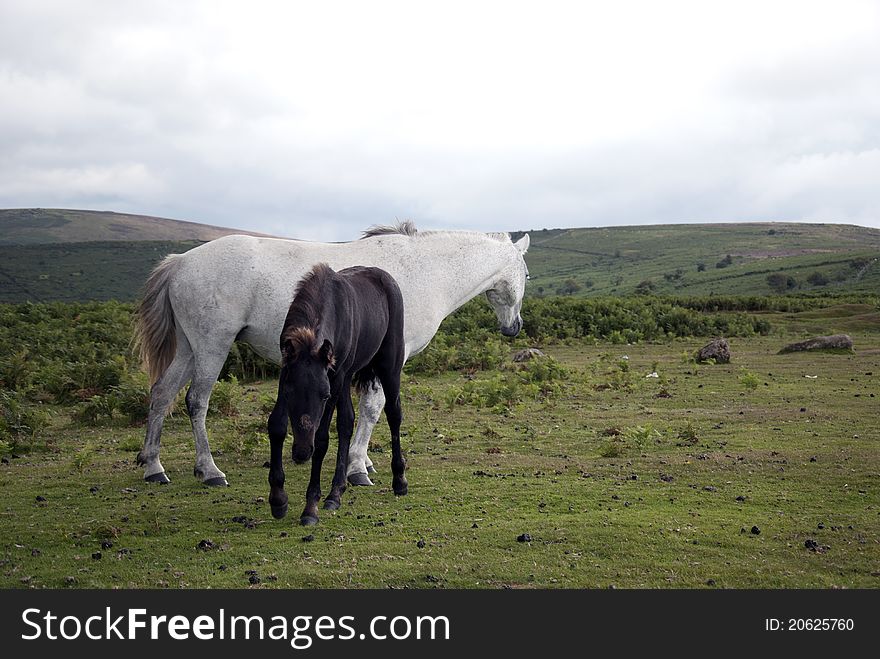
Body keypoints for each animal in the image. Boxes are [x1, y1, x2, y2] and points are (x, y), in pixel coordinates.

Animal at [134, 224, 524, 488]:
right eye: (526, 272)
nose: (514, 327)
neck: (425, 271)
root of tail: (180, 262)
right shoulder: (387, 362)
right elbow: (373, 410)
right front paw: (357, 469)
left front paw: (362, 462)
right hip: (211, 346)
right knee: (196, 401)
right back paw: (210, 471)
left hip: (189, 349)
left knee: (162, 394)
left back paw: (155, 467)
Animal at [266, 262, 408, 524]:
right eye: (290, 393)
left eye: (323, 395)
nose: (302, 453)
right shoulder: (286, 371)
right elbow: (277, 426)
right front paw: (278, 499)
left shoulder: (335, 378)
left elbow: (322, 439)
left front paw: (311, 507)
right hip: (348, 377)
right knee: (346, 422)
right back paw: (336, 492)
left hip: (388, 365)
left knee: (394, 413)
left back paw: (399, 481)